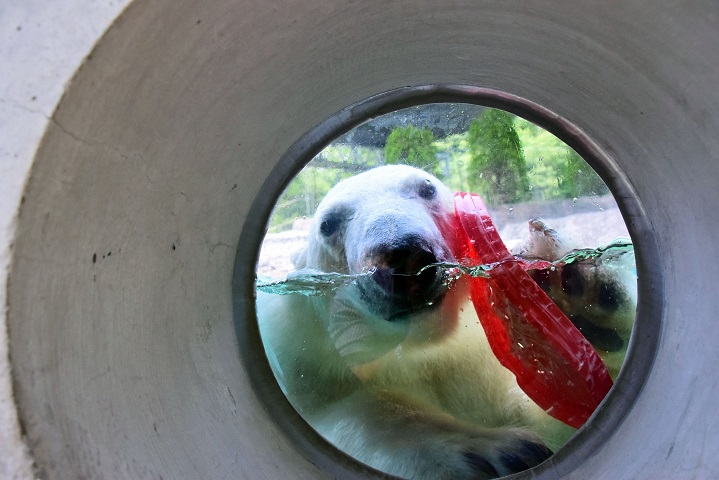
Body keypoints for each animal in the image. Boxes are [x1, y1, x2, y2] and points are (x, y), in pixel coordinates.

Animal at [258, 165, 636, 480]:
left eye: (426, 188)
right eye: (328, 223)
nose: (402, 253)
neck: (430, 344)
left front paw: (578, 286)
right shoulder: (306, 363)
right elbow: (352, 413)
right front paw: (497, 451)